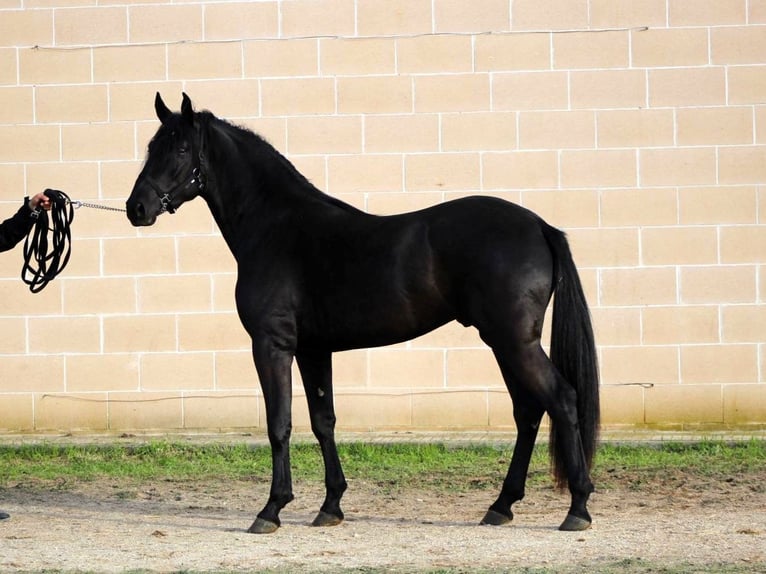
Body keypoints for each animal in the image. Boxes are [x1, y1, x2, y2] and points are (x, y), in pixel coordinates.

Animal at [126, 93, 600, 536]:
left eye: (181, 149)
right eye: (152, 146)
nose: (136, 208)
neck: (276, 229)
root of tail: (538, 225)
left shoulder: (272, 345)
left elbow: (279, 424)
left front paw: (271, 509)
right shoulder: (314, 351)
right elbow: (324, 422)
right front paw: (330, 506)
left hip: (513, 341)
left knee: (561, 399)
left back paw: (577, 508)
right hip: (504, 342)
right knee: (528, 411)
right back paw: (502, 505)